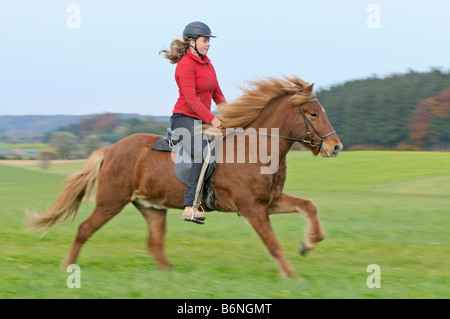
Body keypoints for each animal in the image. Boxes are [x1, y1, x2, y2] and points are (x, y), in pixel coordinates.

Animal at [28, 76, 342, 278]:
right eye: (313, 114)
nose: (335, 147)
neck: (256, 148)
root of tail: (112, 148)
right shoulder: (252, 207)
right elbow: (273, 243)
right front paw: (292, 275)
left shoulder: (270, 201)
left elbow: (309, 206)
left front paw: (308, 244)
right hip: (111, 201)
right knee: (84, 229)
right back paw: (67, 268)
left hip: (151, 207)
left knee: (154, 244)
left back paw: (170, 275)